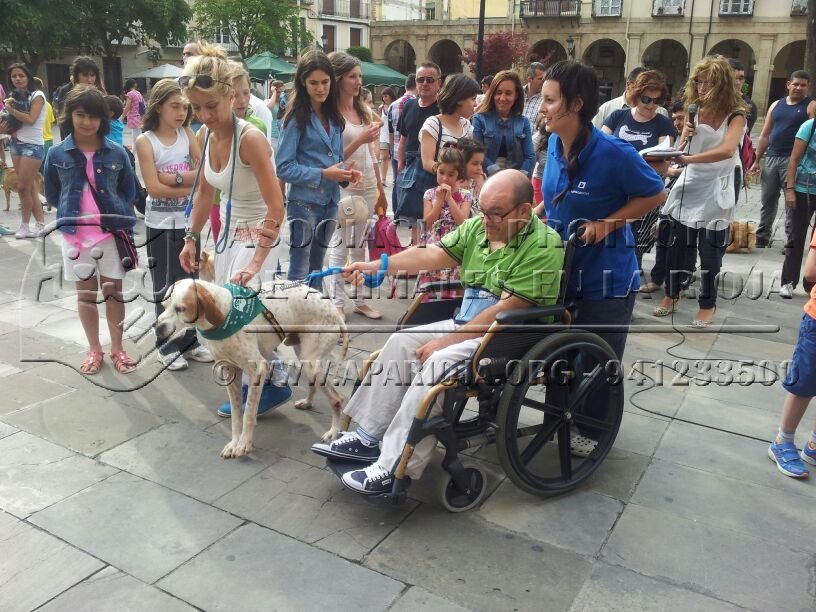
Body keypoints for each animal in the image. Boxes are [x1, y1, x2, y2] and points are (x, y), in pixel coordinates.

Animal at [155, 272, 349, 459]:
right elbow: (236, 415)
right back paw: (308, 402)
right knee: (316, 385)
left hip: (310, 361)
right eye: (163, 305)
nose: (157, 327)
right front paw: (234, 443)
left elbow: (248, 413)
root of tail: (335, 311)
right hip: (305, 356)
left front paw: (244, 444)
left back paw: (333, 432)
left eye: (181, 308)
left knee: (337, 399)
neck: (225, 313)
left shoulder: (257, 370)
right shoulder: (230, 371)